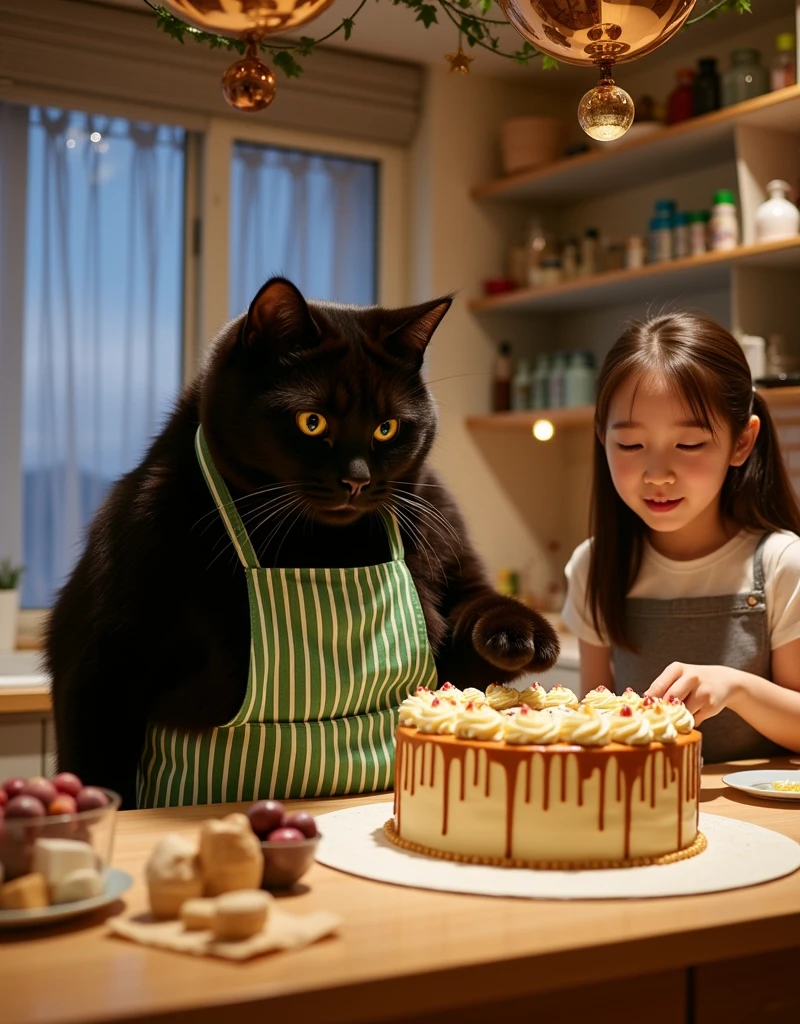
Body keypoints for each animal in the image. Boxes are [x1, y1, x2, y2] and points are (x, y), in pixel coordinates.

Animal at [46, 276, 557, 802]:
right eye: (312, 422)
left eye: (387, 428)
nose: (356, 480)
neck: (321, 548)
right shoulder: (101, 658)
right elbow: (97, 760)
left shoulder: (441, 533)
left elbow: (474, 612)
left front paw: (517, 636)